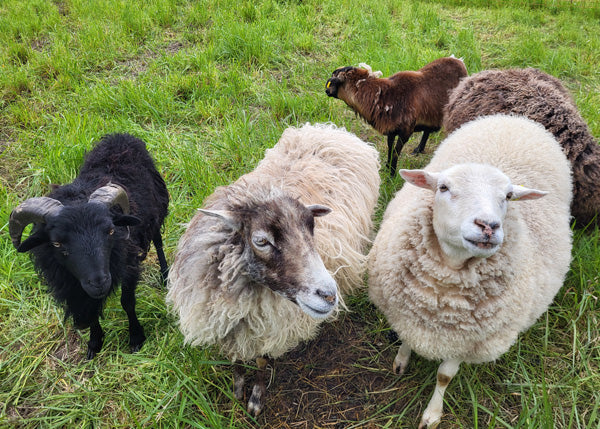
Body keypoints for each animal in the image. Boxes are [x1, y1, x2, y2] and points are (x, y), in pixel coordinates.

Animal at [9, 134, 170, 358]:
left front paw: (136, 338)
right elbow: (91, 312)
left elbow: (127, 303)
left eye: (110, 231)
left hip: (156, 209)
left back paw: (165, 275)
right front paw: (94, 343)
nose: (99, 282)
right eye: (56, 242)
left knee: (158, 240)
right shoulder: (72, 286)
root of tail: (121, 136)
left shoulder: (128, 264)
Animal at [164, 122, 380, 416]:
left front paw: (255, 398)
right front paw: (237, 390)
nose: (329, 295)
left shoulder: (273, 327)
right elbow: (236, 361)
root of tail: (329, 129)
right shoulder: (229, 323)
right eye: (262, 241)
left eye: (312, 228)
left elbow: (261, 362)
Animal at [324, 56, 468, 176]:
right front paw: (388, 167)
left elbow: (396, 152)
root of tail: (459, 61)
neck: (386, 96)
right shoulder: (391, 129)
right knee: (427, 130)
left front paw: (392, 175)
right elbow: (390, 147)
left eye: (333, 81)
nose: (326, 91)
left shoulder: (406, 131)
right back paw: (419, 149)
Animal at [368, 114, 576, 428]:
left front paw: (432, 414)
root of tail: (514, 119)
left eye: (509, 195)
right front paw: (401, 362)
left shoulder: (470, 341)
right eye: (442, 187)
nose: (488, 225)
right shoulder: (406, 312)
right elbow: (406, 340)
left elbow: (444, 376)